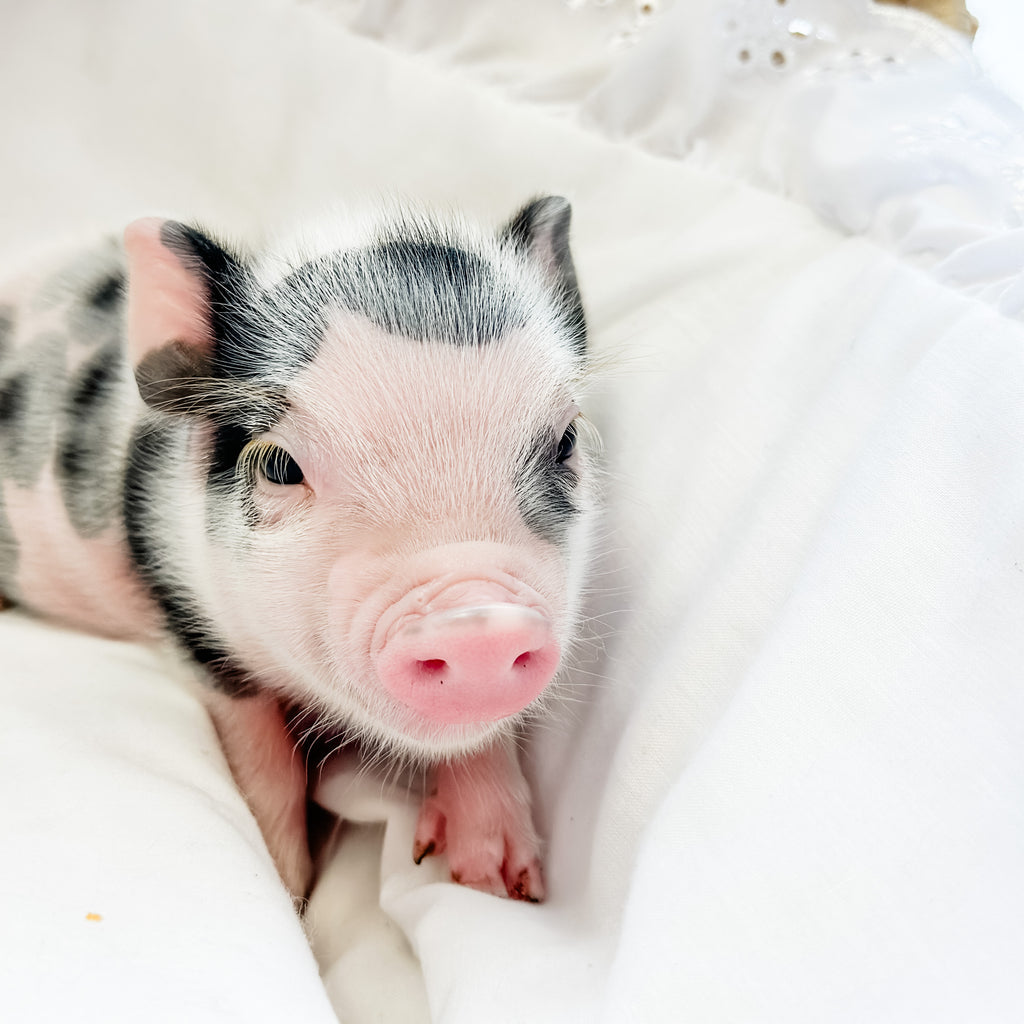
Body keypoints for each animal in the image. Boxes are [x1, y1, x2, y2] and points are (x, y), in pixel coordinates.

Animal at [0, 197, 596, 902]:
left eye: (566, 441)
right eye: (280, 466)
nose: (477, 622)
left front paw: (502, 887)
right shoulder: (189, 612)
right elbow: (265, 762)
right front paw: (289, 890)